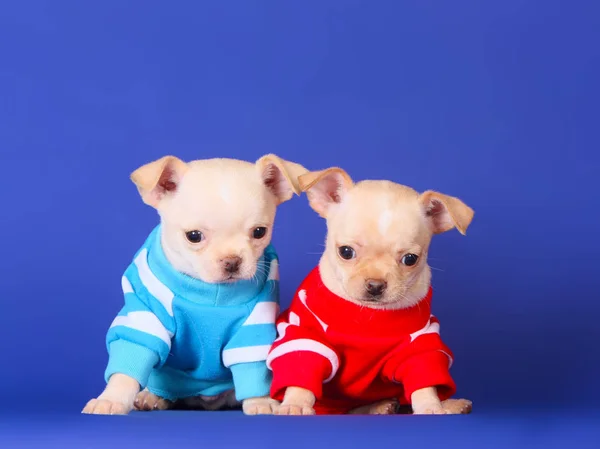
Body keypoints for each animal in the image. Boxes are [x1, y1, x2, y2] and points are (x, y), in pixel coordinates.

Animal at [82, 153, 308, 412]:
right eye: (194, 236)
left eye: (259, 232)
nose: (232, 261)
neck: (211, 292)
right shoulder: (145, 315)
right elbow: (130, 361)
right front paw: (111, 399)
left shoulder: (254, 326)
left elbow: (252, 365)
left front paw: (261, 401)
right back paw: (152, 396)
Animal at [268, 169, 474, 416]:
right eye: (346, 252)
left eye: (410, 259)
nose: (375, 285)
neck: (369, 315)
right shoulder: (307, 335)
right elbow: (301, 369)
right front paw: (296, 404)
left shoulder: (420, 343)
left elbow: (424, 379)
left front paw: (431, 406)